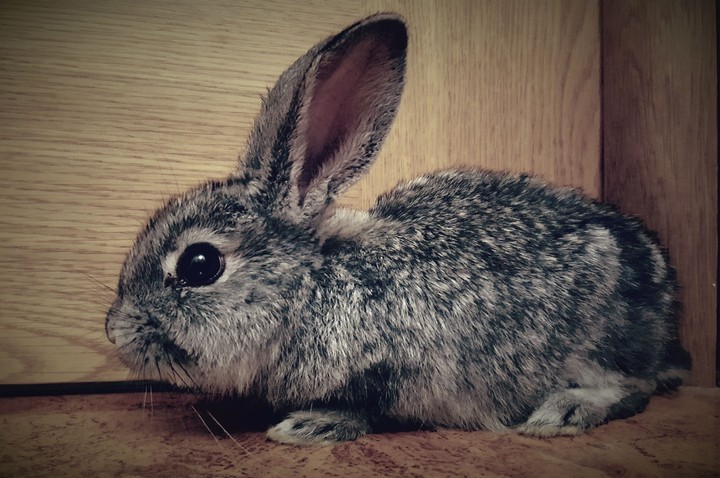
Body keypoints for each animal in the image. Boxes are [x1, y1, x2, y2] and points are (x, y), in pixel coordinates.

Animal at [105, 13, 690, 445]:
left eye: (200, 264)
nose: (115, 330)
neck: (307, 287)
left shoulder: (403, 369)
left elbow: (368, 410)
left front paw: (310, 426)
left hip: (597, 338)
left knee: (630, 385)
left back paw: (561, 412)